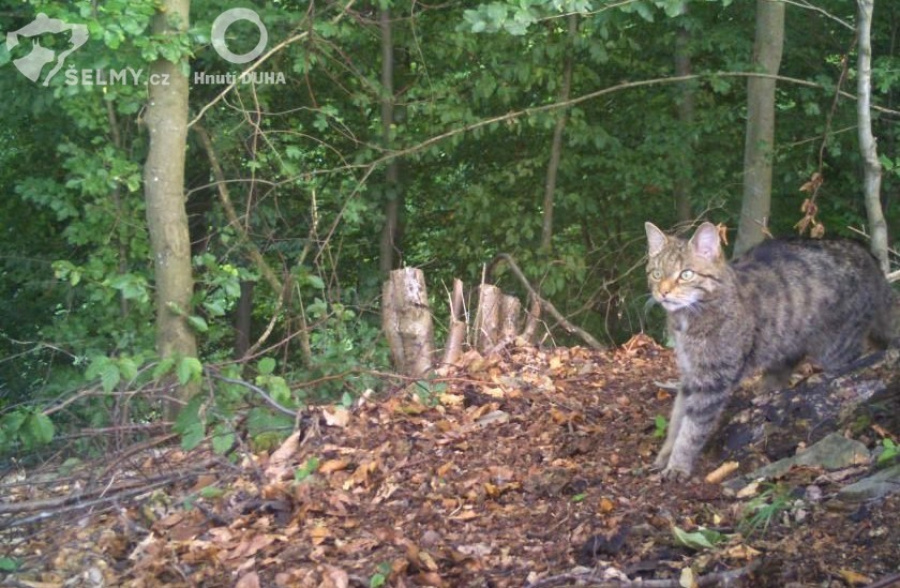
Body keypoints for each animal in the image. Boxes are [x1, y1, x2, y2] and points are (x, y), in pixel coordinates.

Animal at [648, 223, 892, 480]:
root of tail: (867, 255)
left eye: (686, 274)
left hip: (839, 350)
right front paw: (665, 455)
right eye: (656, 274)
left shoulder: (713, 382)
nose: (663, 292)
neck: (686, 320)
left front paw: (677, 465)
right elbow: (677, 420)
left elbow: (691, 431)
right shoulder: (690, 375)